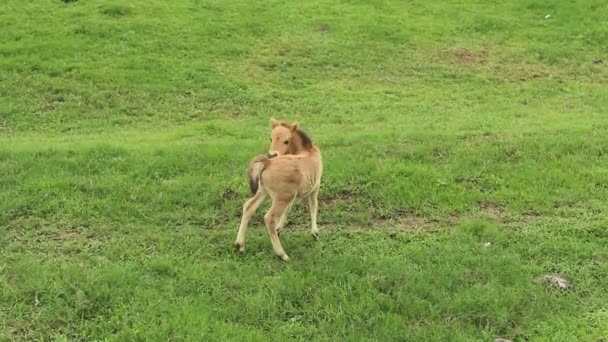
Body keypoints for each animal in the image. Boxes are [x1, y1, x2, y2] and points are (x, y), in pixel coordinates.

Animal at [235, 119, 326, 260]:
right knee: (270, 218)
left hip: (264, 192)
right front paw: (315, 233)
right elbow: (313, 206)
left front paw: (279, 229)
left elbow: (288, 209)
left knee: (248, 207)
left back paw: (240, 245)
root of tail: (268, 163)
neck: (307, 150)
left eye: (286, 141)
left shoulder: (293, 195)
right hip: (282, 197)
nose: (272, 154)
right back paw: (282, 254)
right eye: (271, 138)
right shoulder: (315, 187)